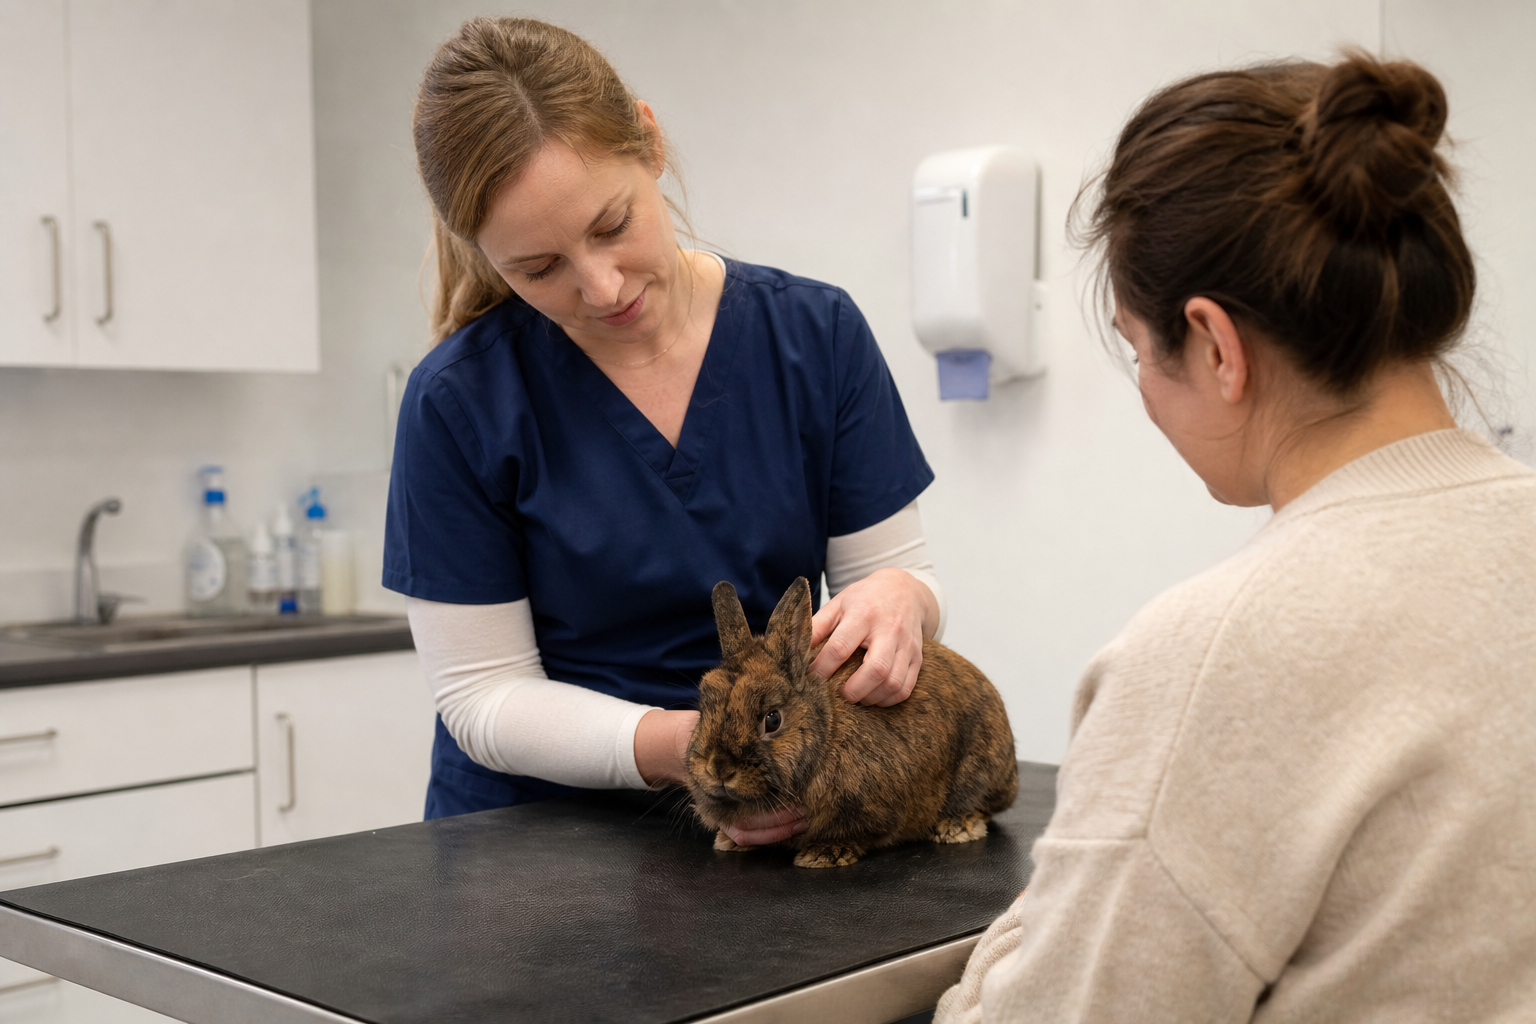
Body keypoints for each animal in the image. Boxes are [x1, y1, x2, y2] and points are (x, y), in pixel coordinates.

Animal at [685, 576, 1018, 868]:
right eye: (704, 705)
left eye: (772, 719)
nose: (718, 768)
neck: (827, 731)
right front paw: (730, 841)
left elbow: (857, 834)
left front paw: (823, 855)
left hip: (978, 770)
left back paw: (956, 827)